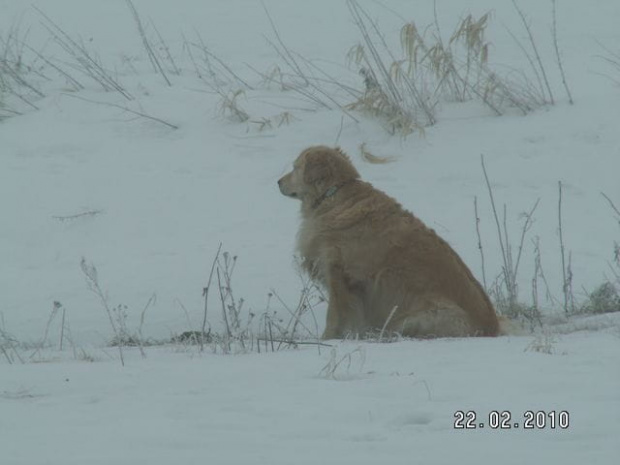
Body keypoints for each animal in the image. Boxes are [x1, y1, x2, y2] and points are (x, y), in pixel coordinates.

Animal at [278, 145, 502, 338]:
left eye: (295, 167)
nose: (278, 182)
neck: (333, 196)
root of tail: (492, 329)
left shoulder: (340, 276)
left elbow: (335, 316)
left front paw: (329, 339)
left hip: (422, 315)